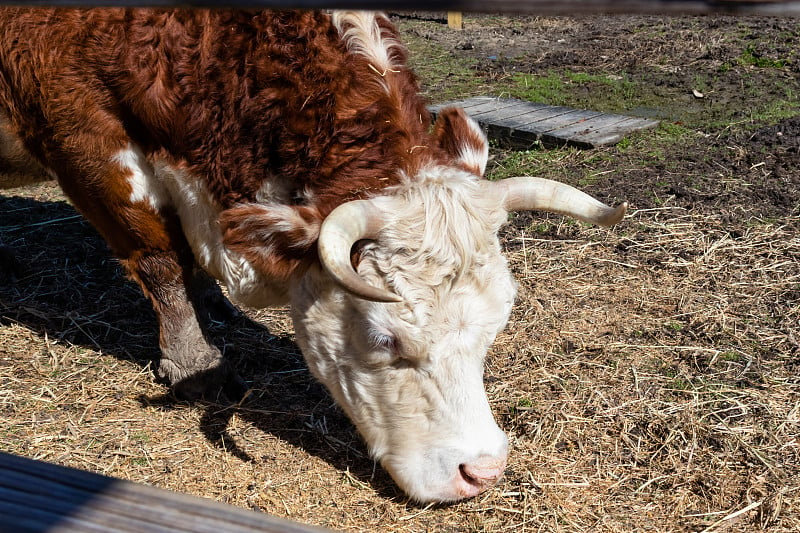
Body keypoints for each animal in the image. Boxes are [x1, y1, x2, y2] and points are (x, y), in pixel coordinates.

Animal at [0, 8, 624, 500]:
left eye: (496, 326)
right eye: (383, 339)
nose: (484, 471)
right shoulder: (84, 138)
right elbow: (159, 261)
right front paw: (194, 362)